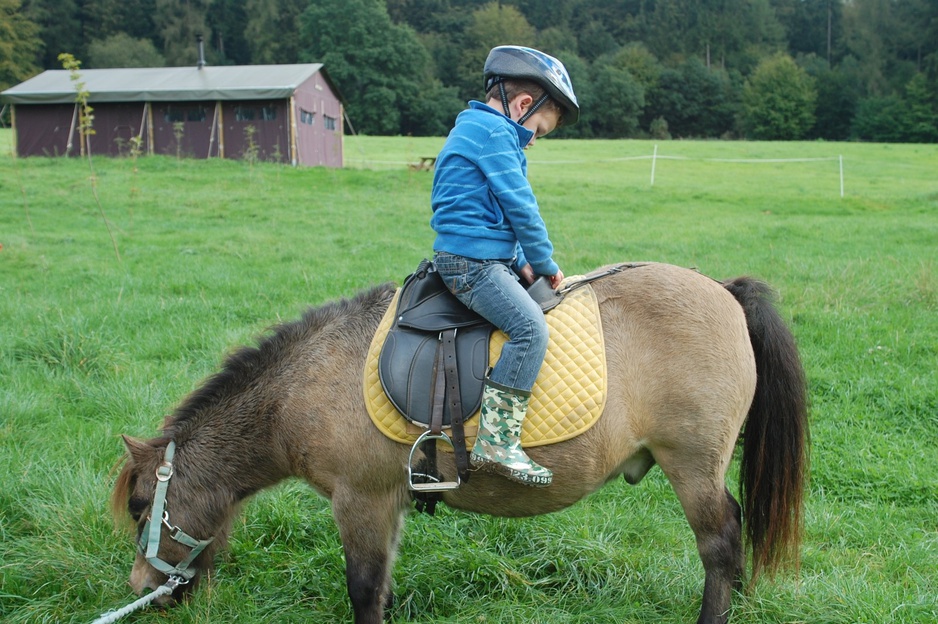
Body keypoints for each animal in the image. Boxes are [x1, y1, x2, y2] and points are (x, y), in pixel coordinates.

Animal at [113, 264, 808, 624]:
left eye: (143, 507)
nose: (141, 587)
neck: (307, 381)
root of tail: (726, 292)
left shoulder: (359, 500)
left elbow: (363, 589)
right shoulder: (388, 501)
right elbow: (382, 586)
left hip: (691, 466)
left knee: (719, 542)